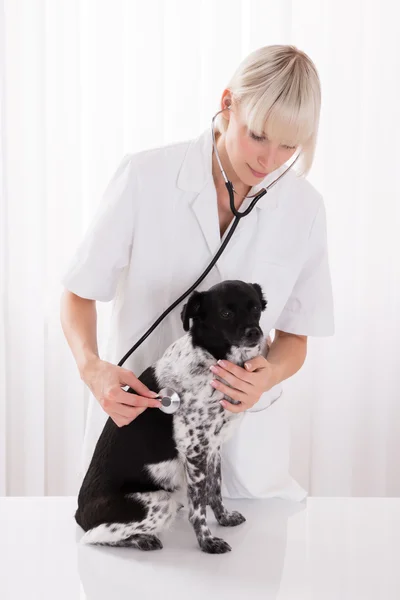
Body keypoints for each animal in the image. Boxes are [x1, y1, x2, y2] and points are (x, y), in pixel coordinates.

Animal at [75, 280, 268, 552]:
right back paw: (141, 539)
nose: (254, 333)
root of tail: (79, 514)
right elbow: (198, 507)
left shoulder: (213, 447)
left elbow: (214, 490)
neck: (211, 360)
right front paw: (207, 542)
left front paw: (224, 518)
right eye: (225, 313)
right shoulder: (194, 449)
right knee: (93, 536)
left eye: (256, 308)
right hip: (160, 502)